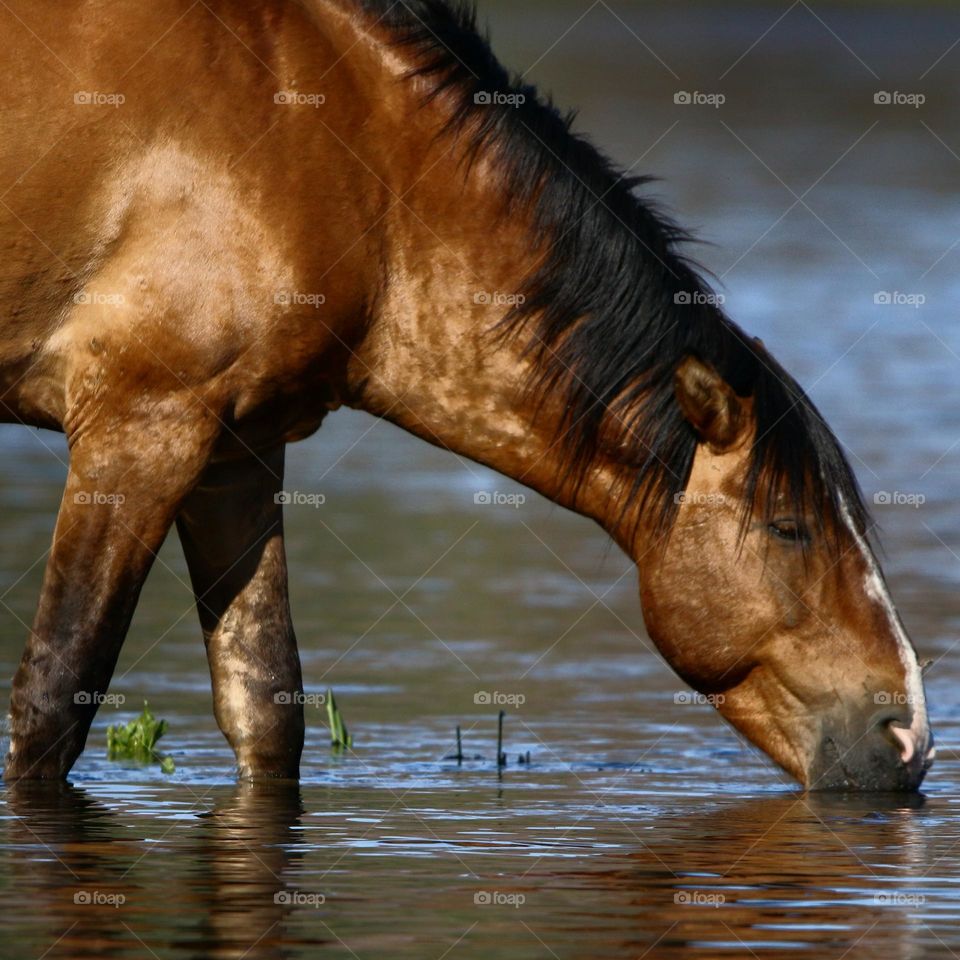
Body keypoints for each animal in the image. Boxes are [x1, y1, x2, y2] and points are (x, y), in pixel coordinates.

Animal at [0, 0, 932, 790]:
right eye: (788, 527)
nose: (910, 739)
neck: (337, 140)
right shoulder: (141, 425)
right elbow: (54, 697)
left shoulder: (236, 452)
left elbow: (263, 706)